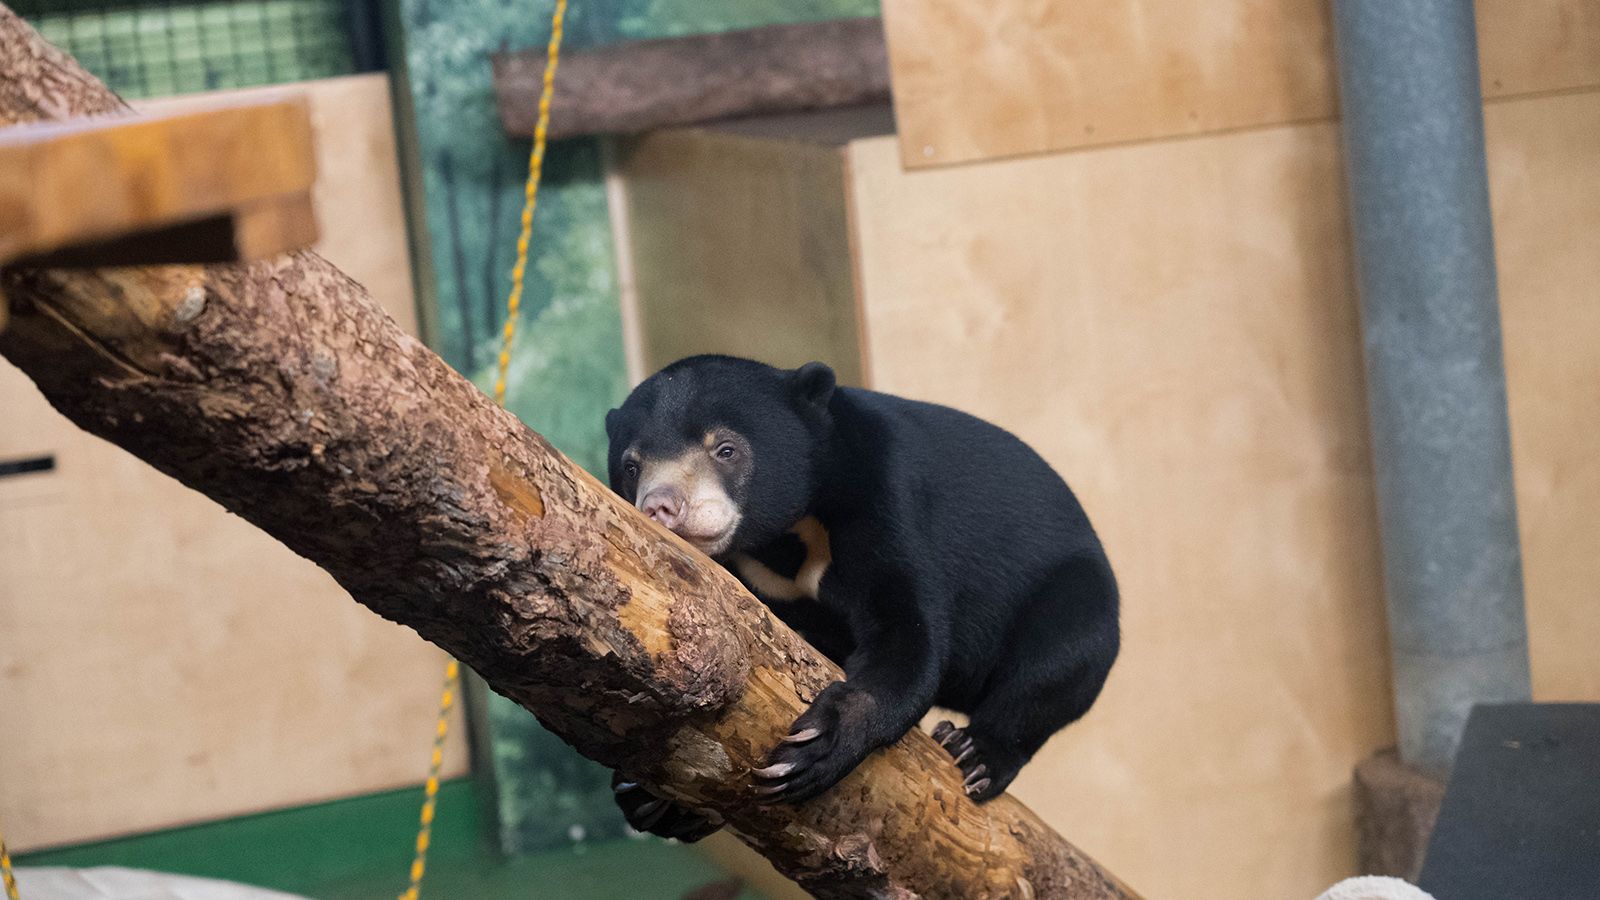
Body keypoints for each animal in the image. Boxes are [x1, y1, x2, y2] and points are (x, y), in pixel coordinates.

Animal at [598, 353, 1113, 839]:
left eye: (725, 449)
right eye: (631, 465)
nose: (660, 506)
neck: (783, 538)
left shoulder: (883, 497)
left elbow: (909, 635)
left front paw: (812, 749)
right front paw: (648, 795)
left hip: (1076, 591)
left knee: (1059, 664)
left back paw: (976, 752)